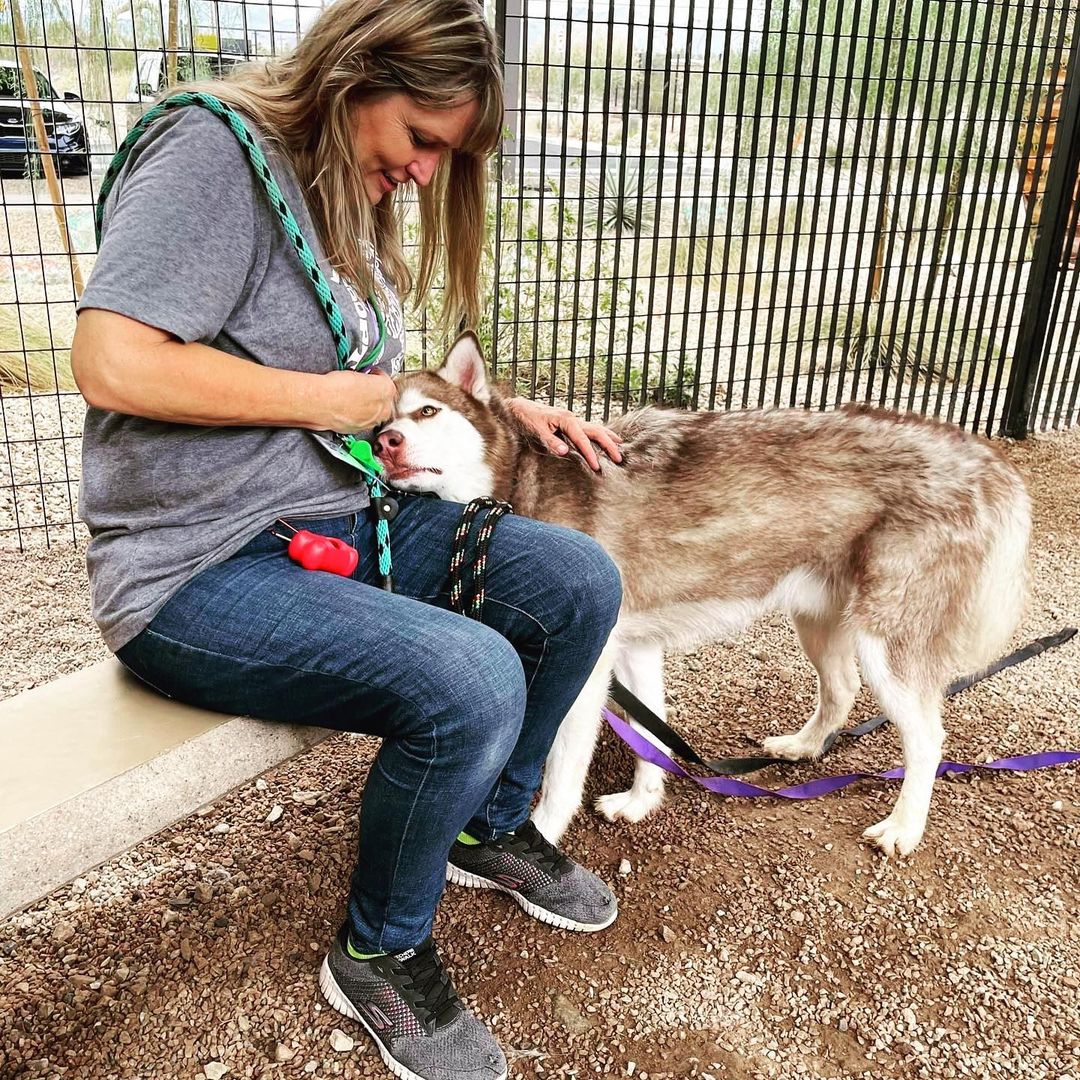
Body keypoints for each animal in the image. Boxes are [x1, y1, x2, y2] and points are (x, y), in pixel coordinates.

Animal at [373, 332, 1028, 855]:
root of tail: (985, 456)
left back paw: (903, 828)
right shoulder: (634, 648)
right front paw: (642, 800)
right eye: (381, 422)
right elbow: (649, 734)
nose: (385, 442)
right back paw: (801, 747)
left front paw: (543, 833)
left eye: (427, 411)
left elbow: (561, 769)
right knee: (840, 691)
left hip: (884, 645)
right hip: (821, 622)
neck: (511, 490)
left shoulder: (590, 666)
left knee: (928, 740)